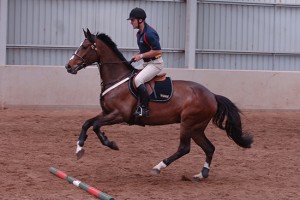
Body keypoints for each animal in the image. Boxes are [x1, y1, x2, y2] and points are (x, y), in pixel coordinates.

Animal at [64, 28, 252, 180]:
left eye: (85, 47)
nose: (68, 66)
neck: (117, 79)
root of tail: (212, 95)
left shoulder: (119, 115)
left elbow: (95, 125)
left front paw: (110, 143)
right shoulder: (107, 112)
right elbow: (87, 123)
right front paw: (79, 149)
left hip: (189, 123)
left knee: (184, 148)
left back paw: (158, 167)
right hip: (197, 127)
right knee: (209, 148)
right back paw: (201, 174)